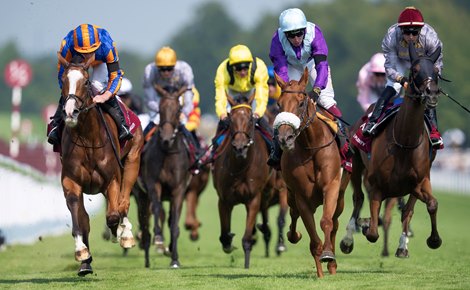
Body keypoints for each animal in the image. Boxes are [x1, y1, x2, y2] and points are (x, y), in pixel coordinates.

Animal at [56, 52, 142, 276]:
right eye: (64, 81)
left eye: (85, 82)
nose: (70, 112)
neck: (88, 140)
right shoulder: (71, 181)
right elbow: (80, 219)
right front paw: (82, 253)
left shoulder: (112, 180)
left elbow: (113, 214)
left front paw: (119, 233)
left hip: (132, 161)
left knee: (123, 201)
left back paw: (126, 234)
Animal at [132, 93, 191, 268]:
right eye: (160, 109)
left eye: (178, 109)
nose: (166, 137)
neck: (167, 154)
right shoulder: (153, 184)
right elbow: (157, 208)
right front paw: (158, 238)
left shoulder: (178, 190)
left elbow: (175, 224)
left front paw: (175, 259)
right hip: (140, 195)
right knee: (145, 224)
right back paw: (147, 257)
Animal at [213, 93, 272, 268]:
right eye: (231, 120)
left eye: (251, 120)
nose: (240, 147)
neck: (240, 167)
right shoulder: (224, 200)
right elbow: (225, 236)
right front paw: (229, 241)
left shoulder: (253, 198)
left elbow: (246, 238)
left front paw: (246, 265)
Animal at [272, 68, 346, 278]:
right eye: (279, 104)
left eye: (301, 102)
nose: (285, 138)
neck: (311, 146)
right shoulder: (301, 196)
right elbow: (313, 239)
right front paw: (320, 273)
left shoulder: (331, 186)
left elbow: (326, 222)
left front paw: (328, 255)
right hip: (290, 195)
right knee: (293, 214)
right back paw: (294, 235)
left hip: (341, 198)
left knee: (335, 223)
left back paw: (333, 265)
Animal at [358, 42, 442, 258]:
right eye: (415, 70)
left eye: (436, 71)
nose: (431, 93)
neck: (404, 141)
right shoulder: (376, 184)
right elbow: (373, 230)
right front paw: (365, 224)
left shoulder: (419, 181)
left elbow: (430, 204)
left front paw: (434, 239)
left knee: (408, 211)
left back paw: (402, 246)